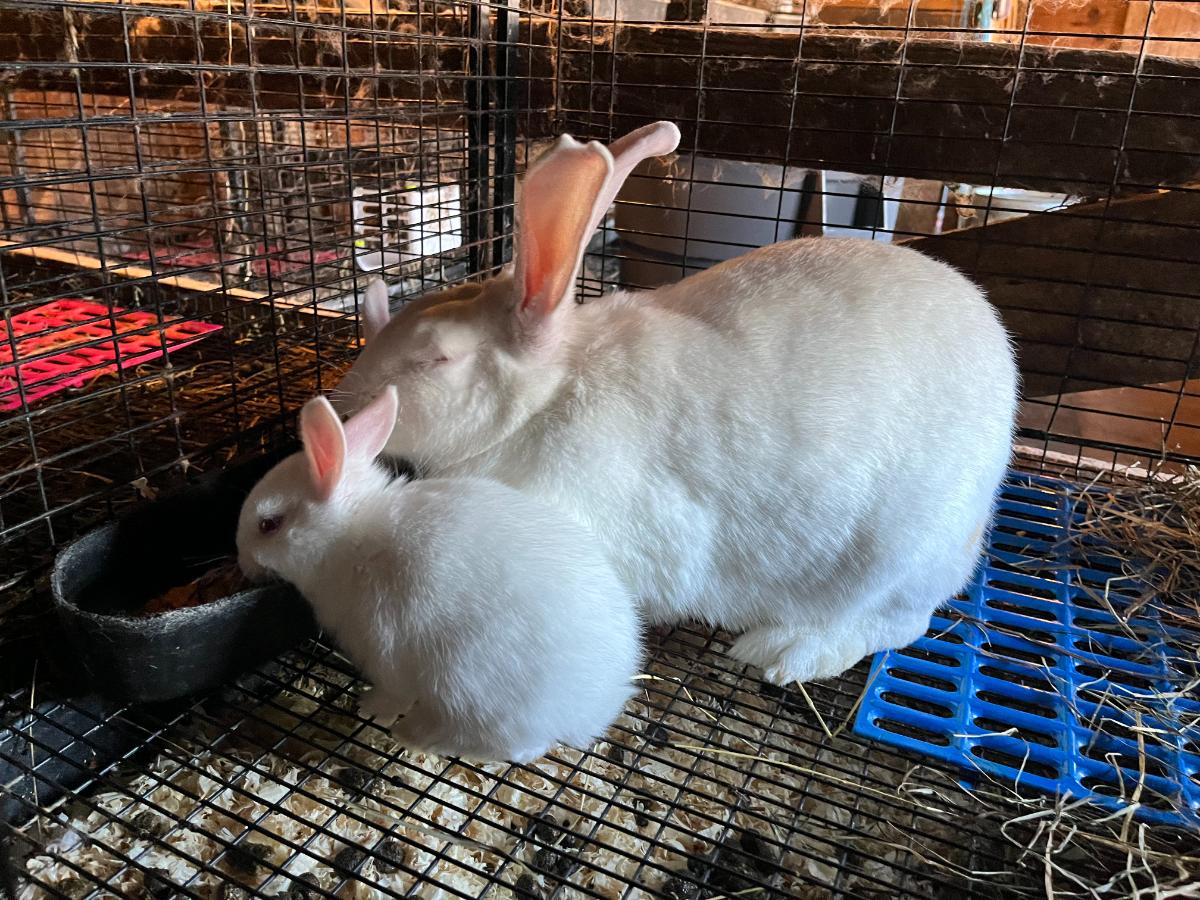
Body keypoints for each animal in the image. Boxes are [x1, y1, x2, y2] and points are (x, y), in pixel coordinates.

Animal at [235, 386, 641, 763]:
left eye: (269, 524)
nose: (242, 561)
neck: (349, 536)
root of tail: (590, 710)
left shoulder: (382, 648)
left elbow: (392, 693)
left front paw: (370, 707)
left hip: (464, 683)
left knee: (504, 745)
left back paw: (415, 735)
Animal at [334, 120, 1019, 686]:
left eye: (436, 357)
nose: (343, 406)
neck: (543, 403)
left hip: (895, 558)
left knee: (897, 623)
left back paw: (783, 653)